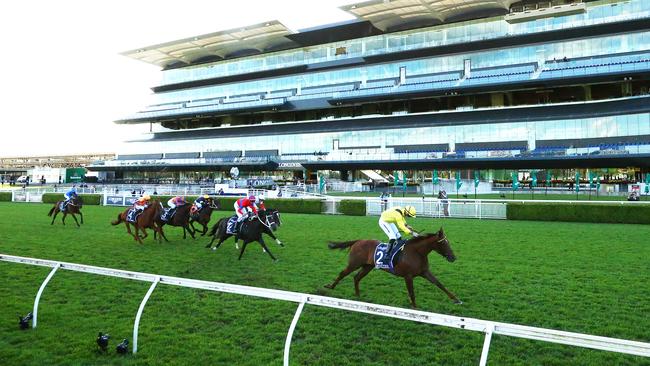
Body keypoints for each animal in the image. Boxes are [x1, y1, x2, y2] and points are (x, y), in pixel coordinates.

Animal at [324, 229, 460, 308]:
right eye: (444, 243)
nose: (453, 257)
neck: (417, 252)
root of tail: (358, 241)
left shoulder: (424, 272)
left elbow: (439, 284)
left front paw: (456, 299)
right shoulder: (408, 276)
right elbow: (412, 293)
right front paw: (415, 308)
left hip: (368, 266)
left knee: (356, 277)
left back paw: (358, 295)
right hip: (354, 264)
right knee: (343, 273)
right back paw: (330, 286)